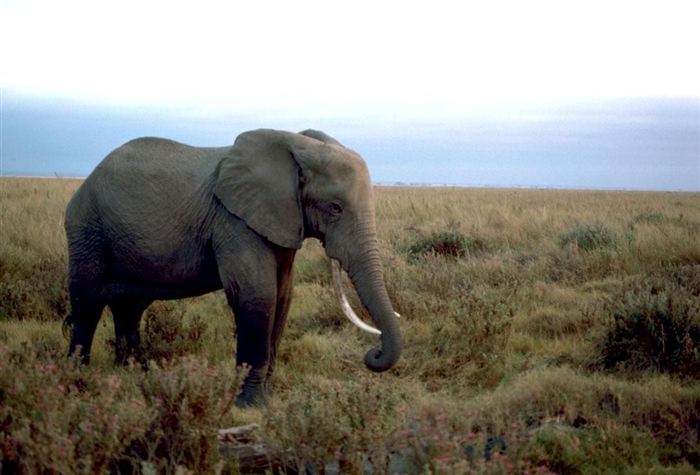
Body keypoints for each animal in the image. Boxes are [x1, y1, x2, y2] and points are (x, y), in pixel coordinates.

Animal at [63, 128, 402, 405]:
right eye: (335, 208)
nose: (373, 354)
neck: (297, 145)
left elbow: (283, 297)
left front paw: (265, 399)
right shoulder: (234, 221)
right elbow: (258, 295)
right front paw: (250, 405)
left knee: (129, 308)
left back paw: (131, 376)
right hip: (88, 231)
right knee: (87, 304)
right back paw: (76, 380)